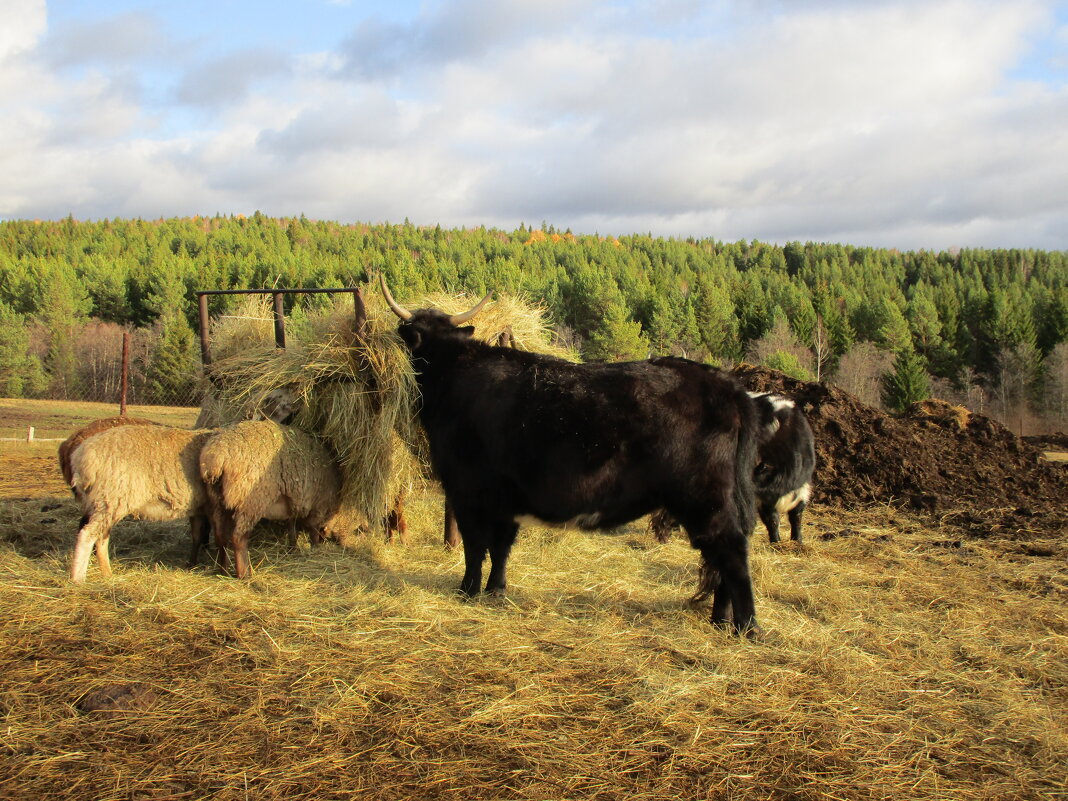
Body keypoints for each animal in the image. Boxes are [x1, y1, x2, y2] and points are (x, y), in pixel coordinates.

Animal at [68, 427, 214, 585]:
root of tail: (81, 457)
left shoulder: (198, 508)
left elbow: (197, 536)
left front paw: (192, 564)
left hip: (105, 502)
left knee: (101, 537)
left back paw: (107, 574)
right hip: (111, 497)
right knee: (87, 534)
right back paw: (78, 579)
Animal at [200, 422, 341, 580]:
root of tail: (216, 457)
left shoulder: (293, 504)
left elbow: (291, 527)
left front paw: (292, 547)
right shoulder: (320, 505)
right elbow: (313, 529)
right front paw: (315, 548)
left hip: (216, 502)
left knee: (220, 536)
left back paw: (223, 570)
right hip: (251, 502)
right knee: (238, 538)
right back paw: (244, 574)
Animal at [380, 279, 764, 636]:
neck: (456, 375)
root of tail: (725, 383)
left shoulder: (467, 490)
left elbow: (475, 547)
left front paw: (467, 591)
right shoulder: (505, 500)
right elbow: (502, 547)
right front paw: (496, 590)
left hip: (704, 500)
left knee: (731, 553)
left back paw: (746, 626)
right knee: (721, 560)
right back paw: (721, 621)